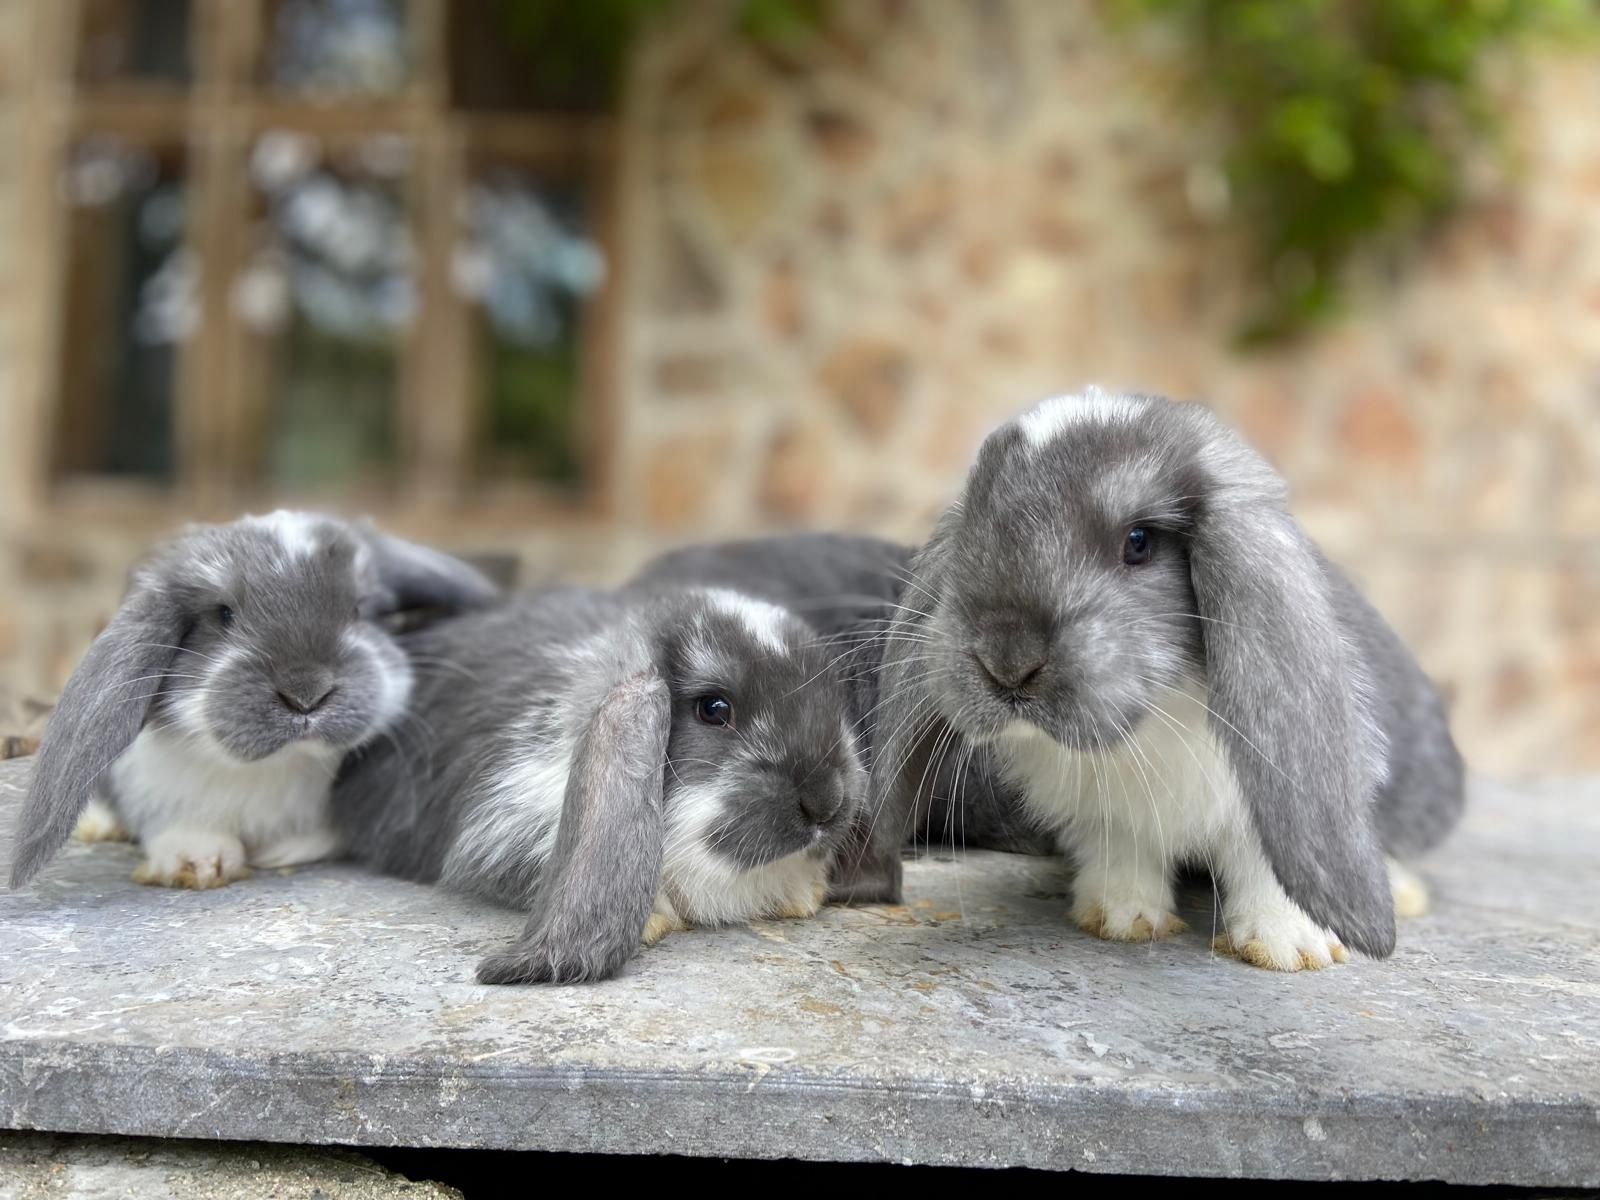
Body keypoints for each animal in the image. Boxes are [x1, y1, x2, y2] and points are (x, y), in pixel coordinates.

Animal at [7, 508, 499, 896]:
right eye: (223, 615)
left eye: (360, 609)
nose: (306, 695)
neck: (272, 769)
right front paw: (197, 859)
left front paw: (286, 848)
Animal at [851, 390, 1465, 972]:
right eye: (973, 536)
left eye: (1139, 542)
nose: (1007, 662)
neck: (1155, 718)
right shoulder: (1106, 817)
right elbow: (1124, 852)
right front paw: (1122, 918)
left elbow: (1268, 864)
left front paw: (1290, 947)